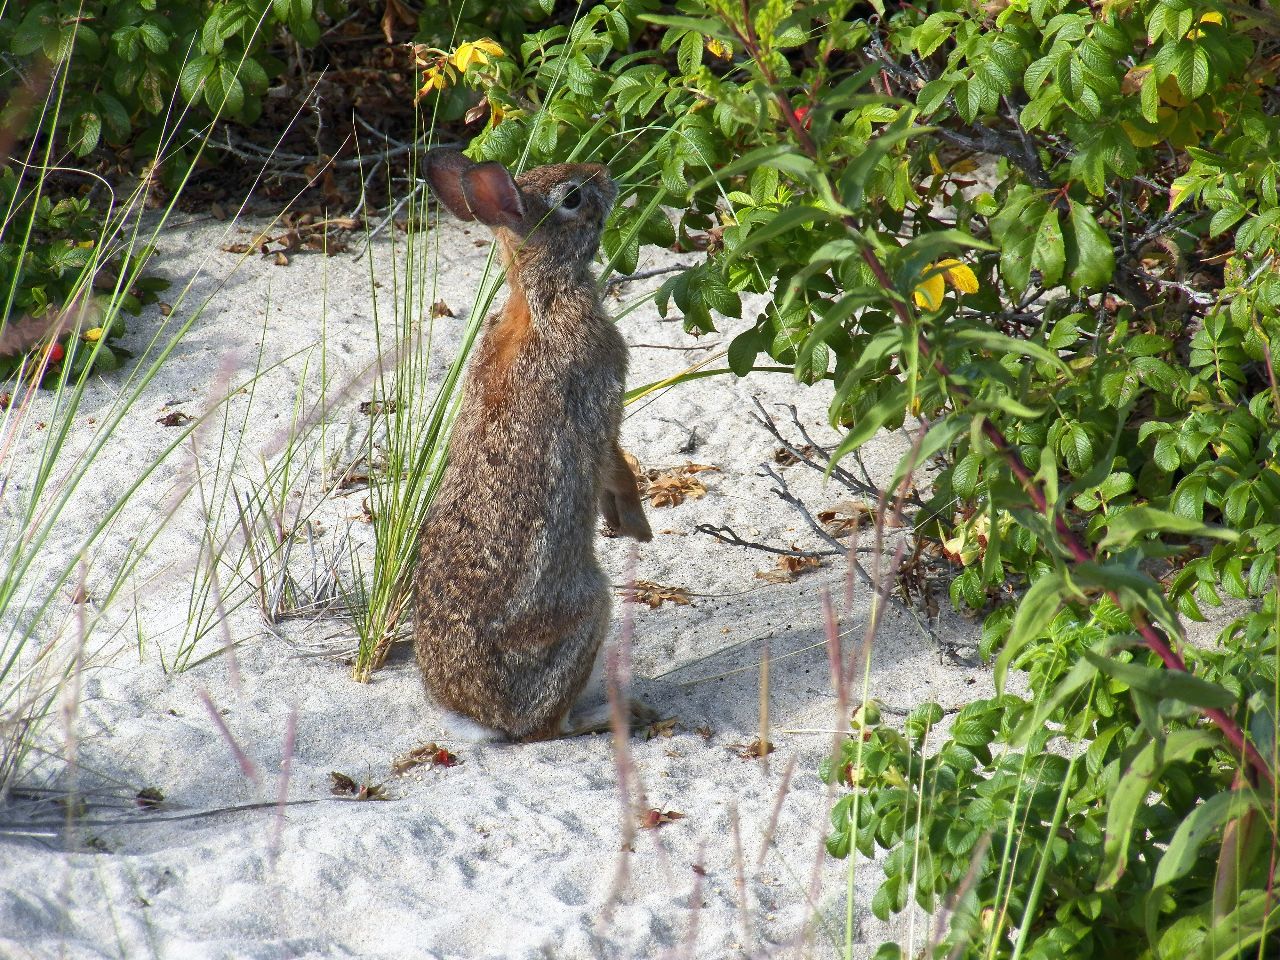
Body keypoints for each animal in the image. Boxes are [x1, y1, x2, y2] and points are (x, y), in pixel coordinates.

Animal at [409, 148, 650, 742]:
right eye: (573, 197)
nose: (606, 175)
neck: (540, 296)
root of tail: (487, 718)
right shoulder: (603, 397)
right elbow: (615, 463)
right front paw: (636, 525)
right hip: (588, 611)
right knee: (549, 726)